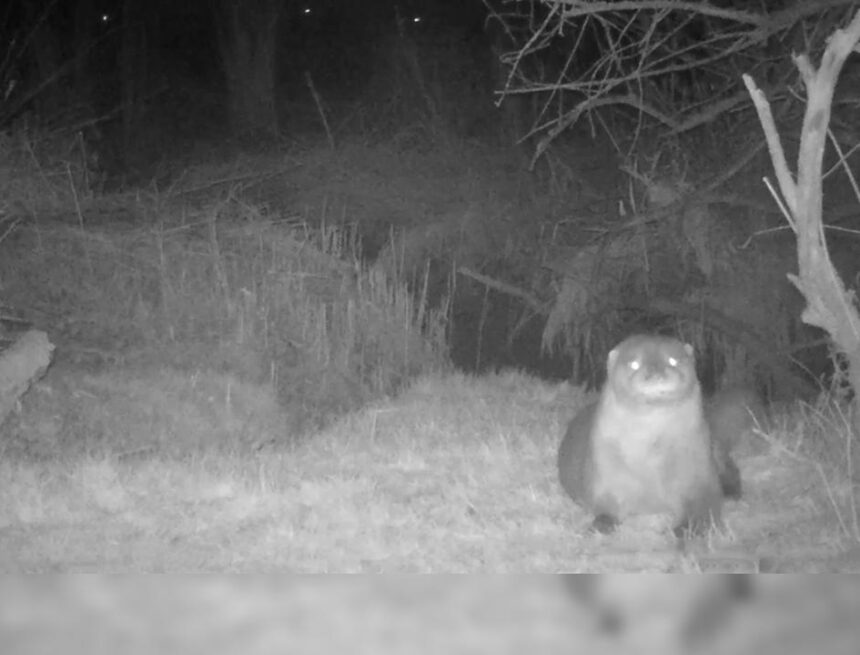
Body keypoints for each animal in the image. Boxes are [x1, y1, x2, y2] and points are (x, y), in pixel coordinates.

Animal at [557, 335, 741, 537]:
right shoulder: (604, 468)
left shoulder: (699, 471)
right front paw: (601, 524)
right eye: (634, 364)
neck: (650, 464)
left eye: (673, 361)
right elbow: (605, 503)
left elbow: (705, 505)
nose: (656, 373)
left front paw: (687, 529)